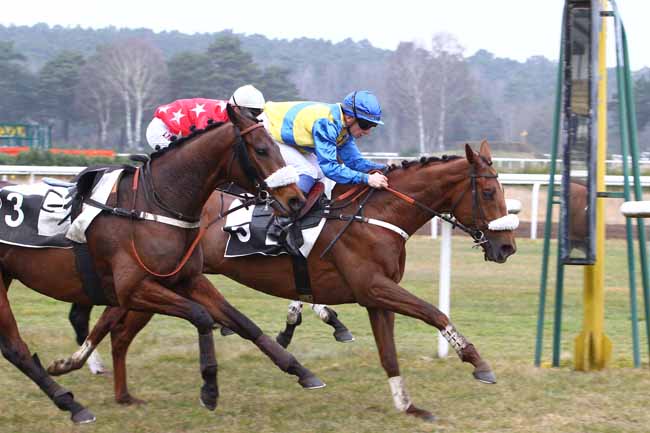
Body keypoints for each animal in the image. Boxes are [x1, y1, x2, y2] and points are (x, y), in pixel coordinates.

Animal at [0, 104, 328, 424]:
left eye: (275, 146)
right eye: (261, 149)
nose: (296, 200)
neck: (154, 206)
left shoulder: (187, 279)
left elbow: (242, 321)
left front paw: (301, 371)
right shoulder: (133, 289)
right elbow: (201, 316)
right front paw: (209, 388)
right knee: (17, 348)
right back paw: (72, 403)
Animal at [52, 140, 517, 421]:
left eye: (504, 193)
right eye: (489, 193)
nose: (507, 247)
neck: (376, 214)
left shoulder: (375, 296)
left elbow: (389, 354)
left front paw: (408, 405)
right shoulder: (374, 286)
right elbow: (433, 312)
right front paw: (478, 363)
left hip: (170, 280)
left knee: (118, 325)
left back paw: (98, 376)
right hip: (163, 279)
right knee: (112, 321)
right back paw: (76, 363)